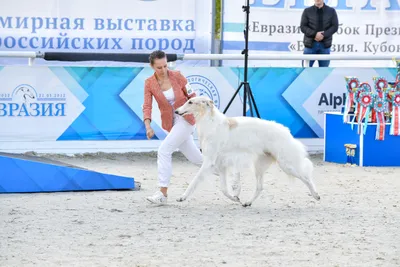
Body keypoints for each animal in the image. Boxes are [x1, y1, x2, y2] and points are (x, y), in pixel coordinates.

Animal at [175, 96, 322, 207]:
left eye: (190, 102)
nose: (176, 111)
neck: (210, 122)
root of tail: (286, 131)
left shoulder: (210, 161)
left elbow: (195, 180)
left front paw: (182, 197)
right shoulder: (221, 164)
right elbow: (224, 189)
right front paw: (235, 197)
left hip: (286, 165)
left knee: (306, 177)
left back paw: (316, 195)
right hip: (259, 166)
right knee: (260, 187)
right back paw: (247, 202)